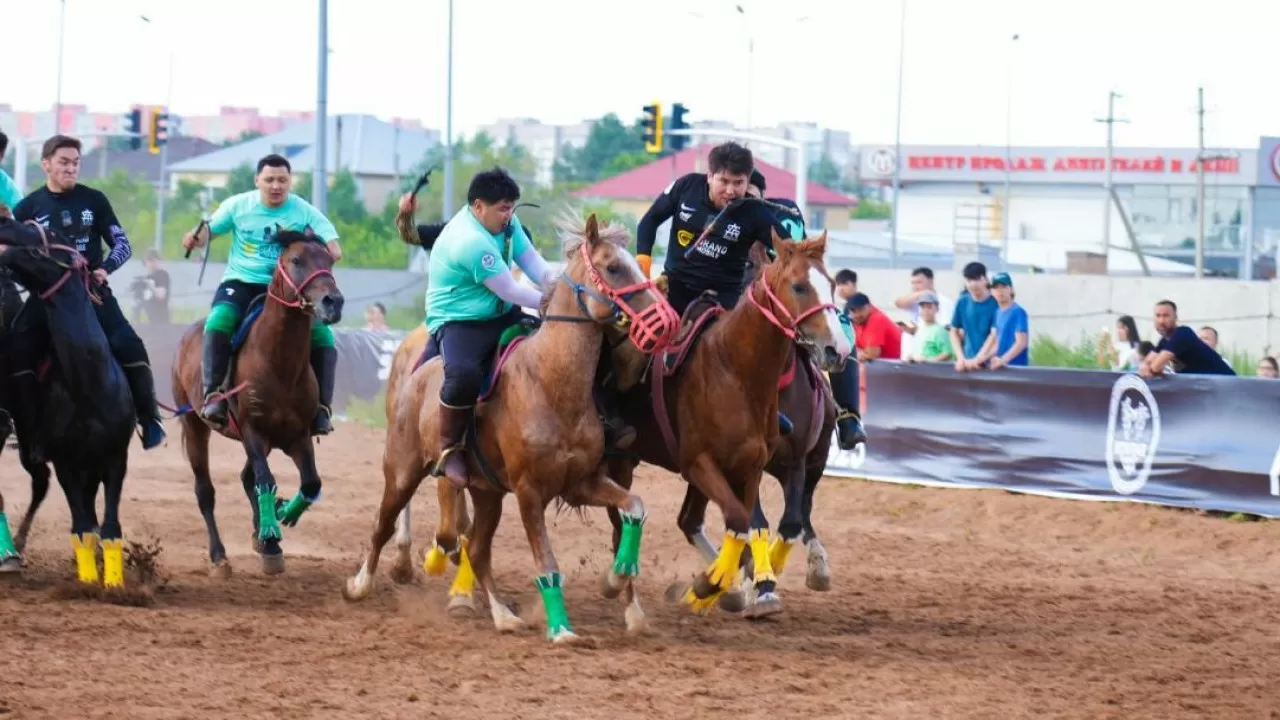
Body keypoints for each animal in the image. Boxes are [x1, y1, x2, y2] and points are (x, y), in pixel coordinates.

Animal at [0, 215, 135, 586]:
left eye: (50, 233)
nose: (4, 222)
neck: (89, 385)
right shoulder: (65, 461)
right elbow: (82, 528)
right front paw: (88, 581)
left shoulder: (115, 457)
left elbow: (110, 527)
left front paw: (114, 583)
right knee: (42, 485)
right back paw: (17, 547)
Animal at [175, 226, 348, 573]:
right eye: (296, 260)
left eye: (329, 260)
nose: (332, 302)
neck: (279, 363)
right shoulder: (252, 431)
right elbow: (265, 480)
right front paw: (270, 532)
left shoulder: (297, 436)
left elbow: (310, 483)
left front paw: (279, 518)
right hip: (194, 424)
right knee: (206, 491)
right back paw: (220, 555)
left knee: (246, 478)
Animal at [340, 211, 680, 638]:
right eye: (614, 267)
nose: (667, 320)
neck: (549, 383)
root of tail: (417, 373)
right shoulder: (529, 491)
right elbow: (547, 564)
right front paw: (561, 630)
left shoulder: (581, 483)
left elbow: (634, 507)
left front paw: (615, 578)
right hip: (403, 470)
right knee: (383, 525)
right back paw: (360, 584)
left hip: (487, 493)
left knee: (477, 549)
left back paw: (502, 614)